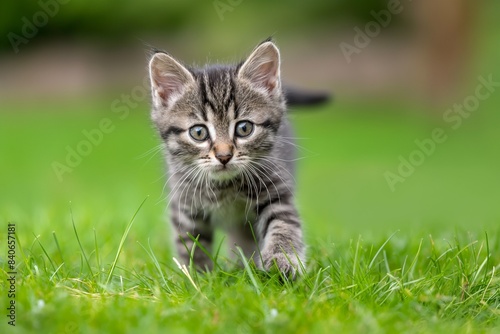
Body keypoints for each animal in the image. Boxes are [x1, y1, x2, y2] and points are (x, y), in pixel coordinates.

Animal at [148, 40, 310, 278]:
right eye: (198, 132)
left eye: (244, 128)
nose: (224, 156)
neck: (224, 187)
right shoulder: (185, 205)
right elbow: (190, 243)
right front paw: (198, 277)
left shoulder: (275, 188)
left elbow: (283, 224)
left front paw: (281, 260)